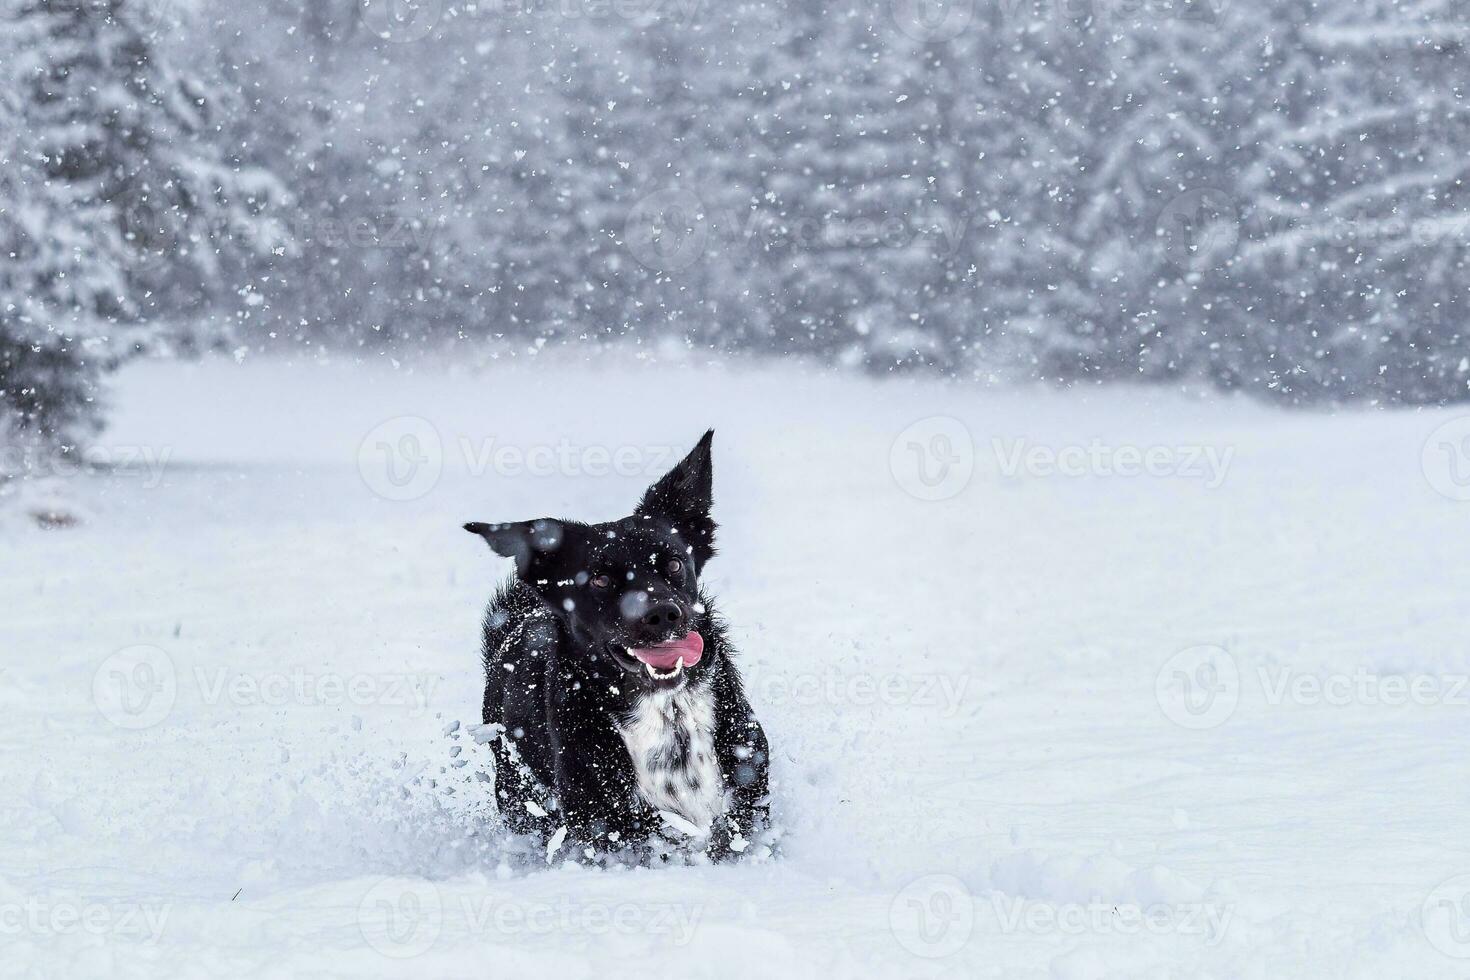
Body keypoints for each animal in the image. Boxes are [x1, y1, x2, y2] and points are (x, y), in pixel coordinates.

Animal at [467, 431, 770, 863]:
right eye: (599, 580)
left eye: (674, 564)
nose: (662, 614)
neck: (669, 714)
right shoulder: (603, 827)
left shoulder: (749, 797)